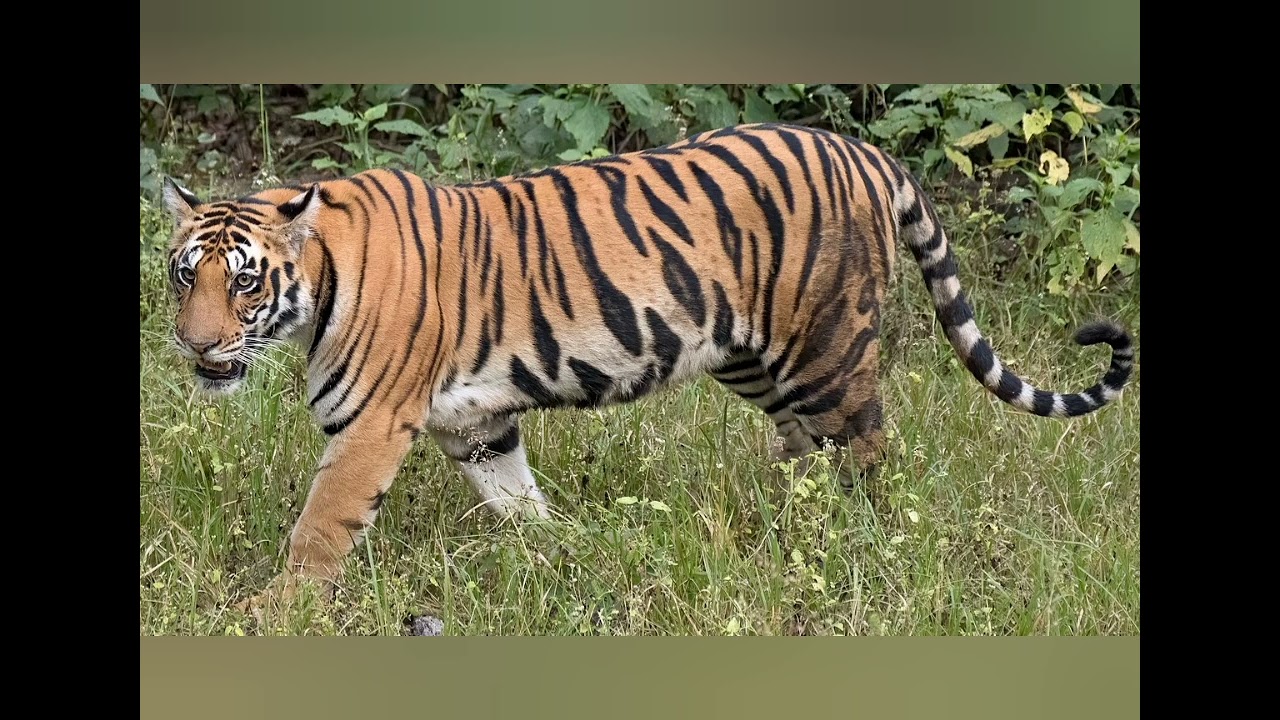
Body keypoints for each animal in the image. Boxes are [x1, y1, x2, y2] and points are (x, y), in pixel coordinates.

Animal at [158, 122, 1134, 605]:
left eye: (244, 283)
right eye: (182, 274)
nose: (197, 346)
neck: (316, 287)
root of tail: (867, 151)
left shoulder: (369, 426)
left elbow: (320, 527)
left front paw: (273, 615)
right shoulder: (477, 424)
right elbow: (518, 500)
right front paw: (560, 556)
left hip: (826, 349)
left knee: (867, 453)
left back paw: (864, 549)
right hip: (752, 357)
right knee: (805, 451)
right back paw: (782, 529)